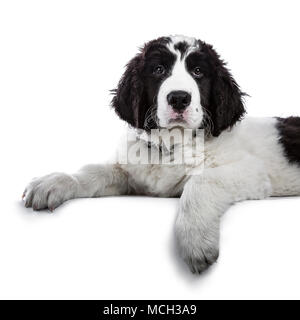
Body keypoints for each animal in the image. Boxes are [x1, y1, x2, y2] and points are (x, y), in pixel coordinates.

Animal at [23, 35, 300, 276]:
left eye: (198, 72)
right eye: (158, 70)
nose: (179, 98)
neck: (169, 147)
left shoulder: (251, 171)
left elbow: (201, 182)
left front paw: (197, 241)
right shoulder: (130, 172)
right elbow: (93, 171)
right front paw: (54, 182)